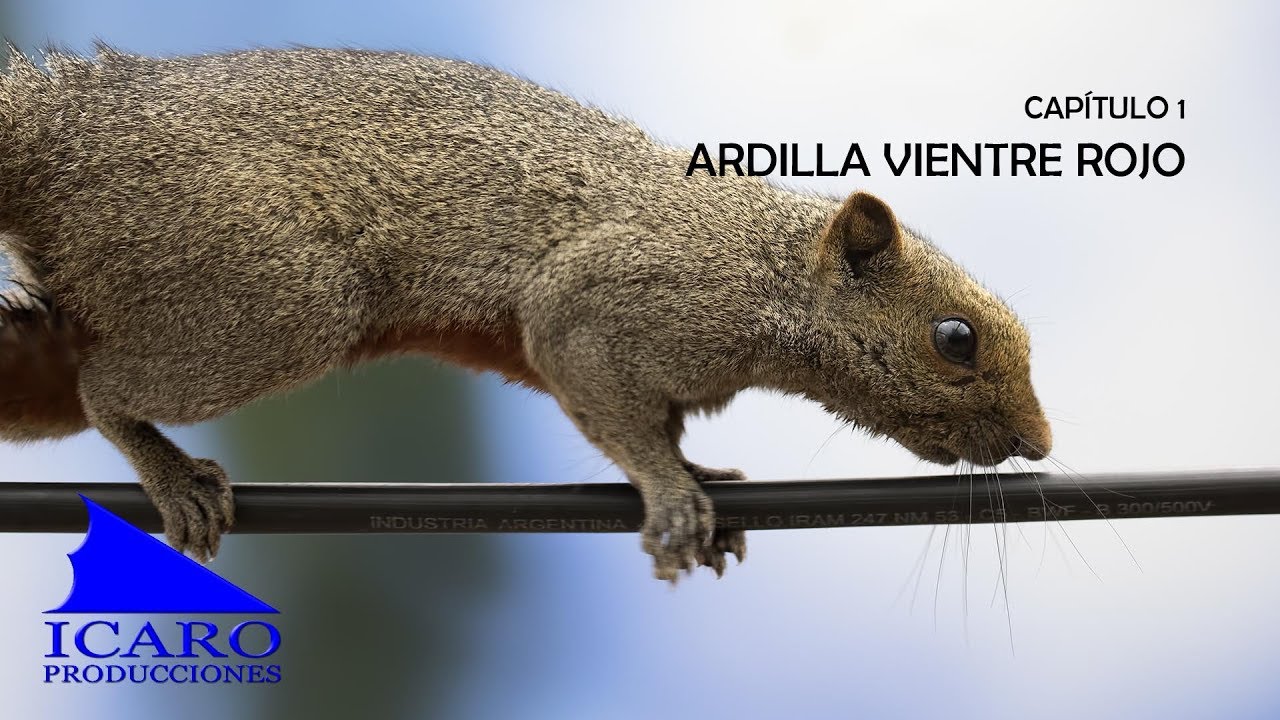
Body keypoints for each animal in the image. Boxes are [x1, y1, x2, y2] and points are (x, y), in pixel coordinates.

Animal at [0, 45, 1051, 581]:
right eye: (955, 338)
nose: (1038, 444)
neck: (761, 265)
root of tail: (64, 136)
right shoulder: (604, 308)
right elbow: (615, 408)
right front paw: (673, 501)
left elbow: (658, 425)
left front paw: (700, 475)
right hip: (279, 294)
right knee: (104, 387)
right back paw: (173, 478)